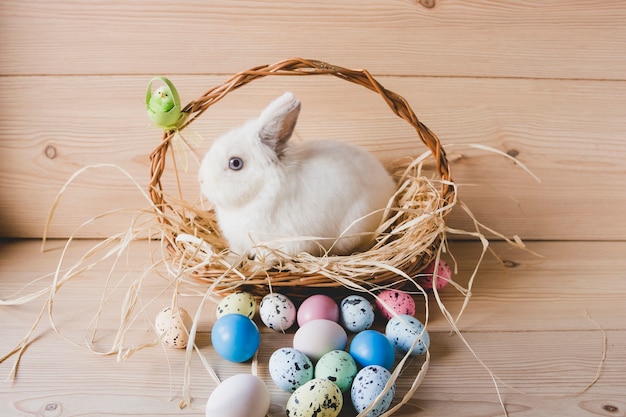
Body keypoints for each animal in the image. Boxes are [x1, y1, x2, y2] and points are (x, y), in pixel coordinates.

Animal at [197, 92, 394, 258]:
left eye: (235, 163)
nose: (201, 180)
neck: (263, 190)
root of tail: (390, 184)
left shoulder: (288, 242)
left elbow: (268, 258)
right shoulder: (239, 243)